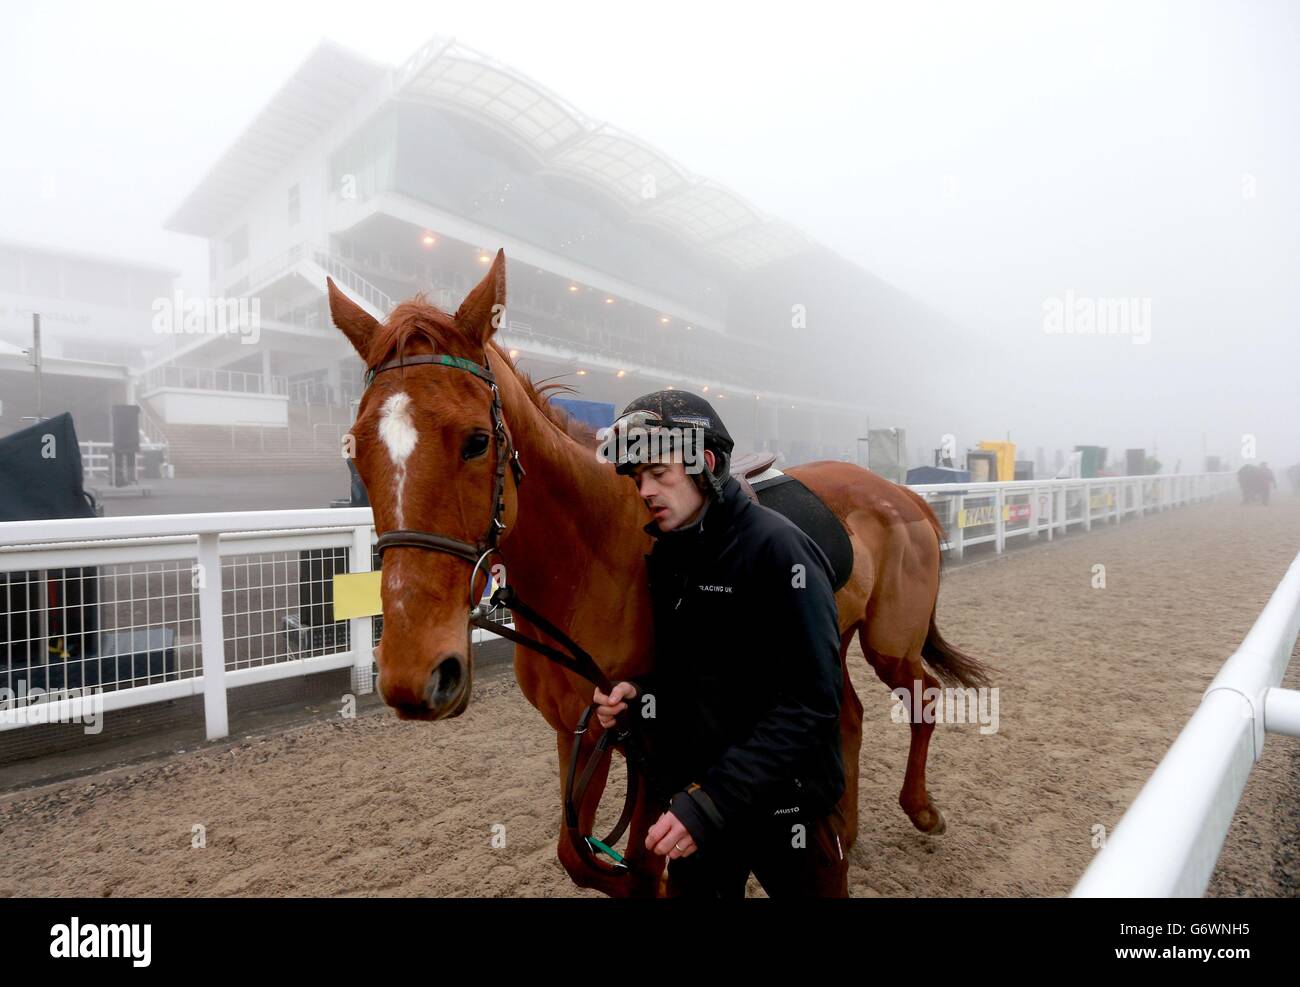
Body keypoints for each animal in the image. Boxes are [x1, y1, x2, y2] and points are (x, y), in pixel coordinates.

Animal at [330, 250, 987, 899]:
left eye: (475, 441)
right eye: (355, 449)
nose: (414, 674)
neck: (589, 559)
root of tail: (901, 493)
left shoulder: (649, 737)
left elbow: (641, 865)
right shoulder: (580, 729)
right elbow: (578, 855)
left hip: (888, 641)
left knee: (923, 696)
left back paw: (921, 809)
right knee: (845, 713)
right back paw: (842, 828)